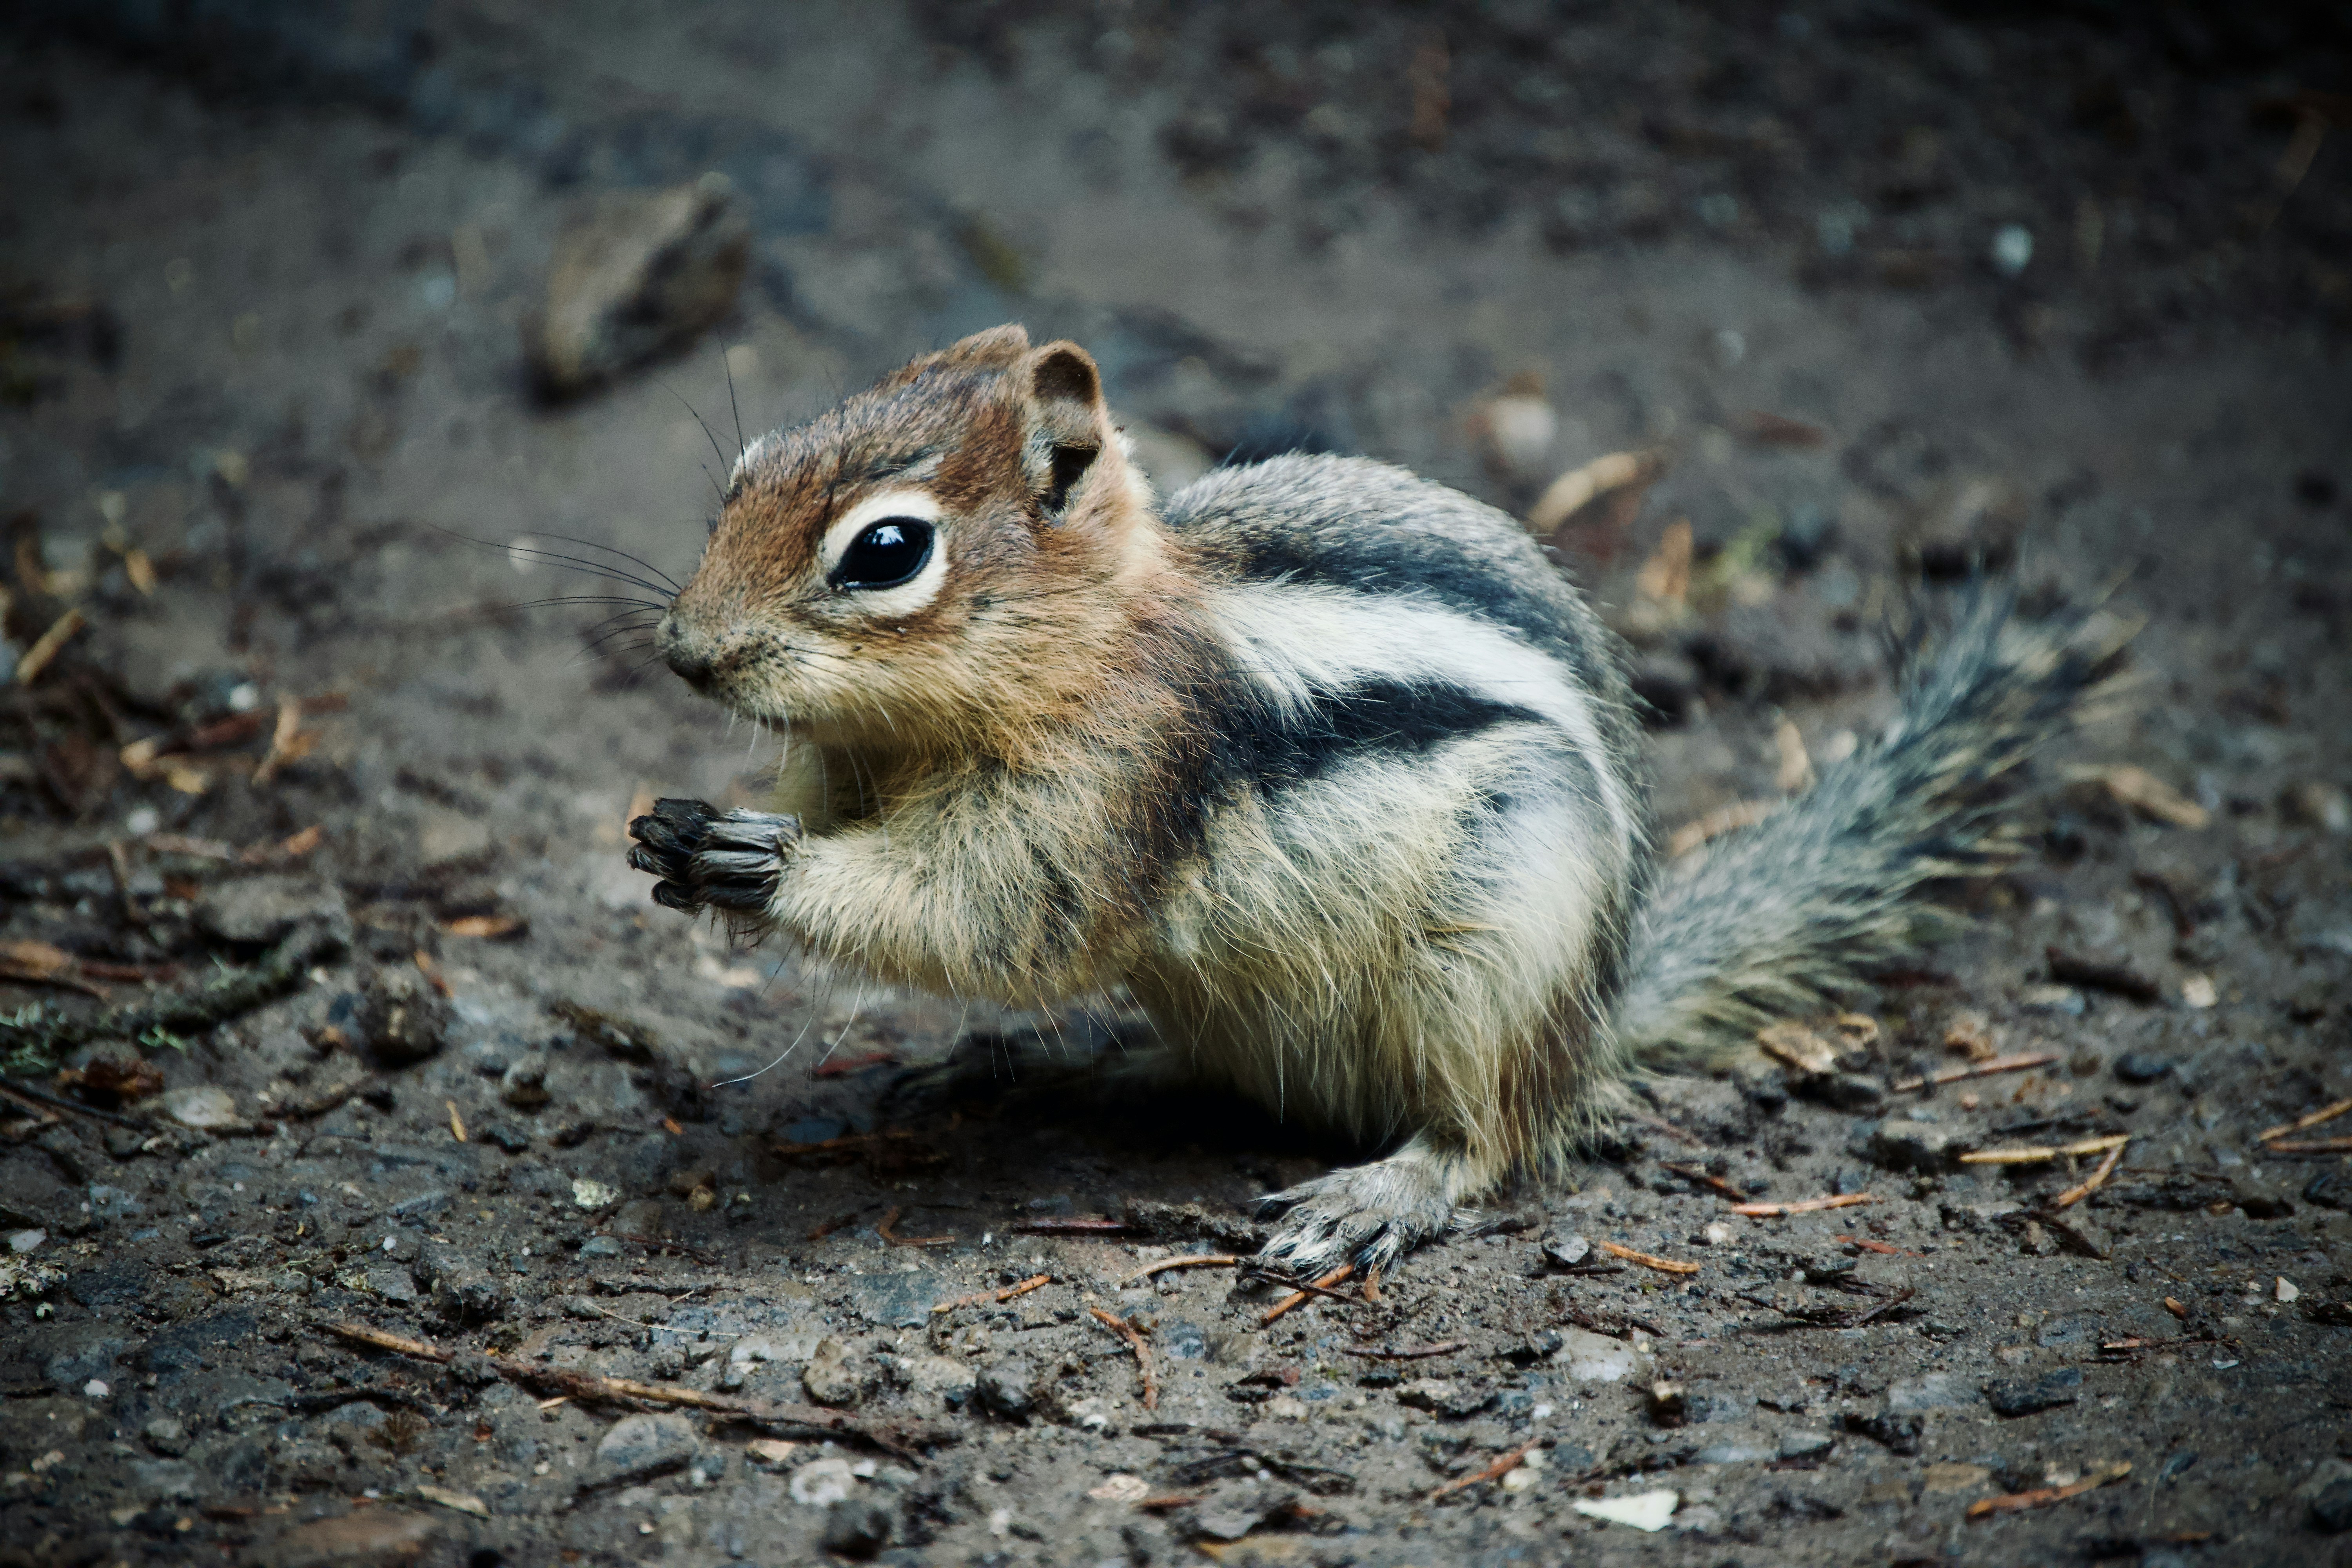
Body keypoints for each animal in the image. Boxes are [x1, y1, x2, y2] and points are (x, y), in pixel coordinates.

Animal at [626, 323, 2125, 1273]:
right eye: (740, 477)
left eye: (886, 551)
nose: (686, 653)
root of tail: (1598, 1011)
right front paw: (683, 831)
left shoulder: (1110, 783)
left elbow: (998, 914)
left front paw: (767, 868)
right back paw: (1061, 1066)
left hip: (1494, 946)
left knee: (1492, 1138)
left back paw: (1384, 1187)